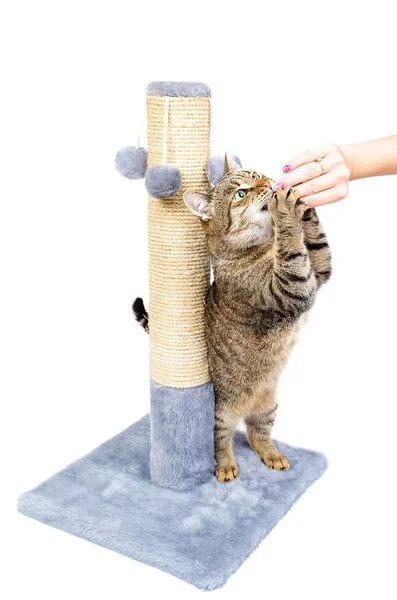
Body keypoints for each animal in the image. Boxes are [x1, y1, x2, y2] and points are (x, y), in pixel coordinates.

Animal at [133, 158, 332, 482]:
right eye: (240, 194)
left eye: (256, 175)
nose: (267, 183)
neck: (263, 245)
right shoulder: (292, 288)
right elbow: (292, 250)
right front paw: (286, 209)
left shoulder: (318, 273)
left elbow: (317, 245)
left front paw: (302, 201)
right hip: (219, 414)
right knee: (221, 443)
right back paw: (226, 466)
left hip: (268, 405)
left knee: (257, 435)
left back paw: (272, 455)